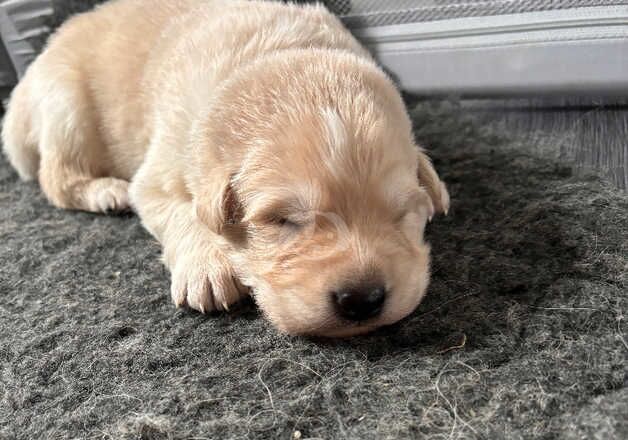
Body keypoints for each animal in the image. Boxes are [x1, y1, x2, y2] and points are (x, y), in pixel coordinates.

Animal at [2, 0, 448, 336]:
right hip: (65, 108)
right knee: (55, 176)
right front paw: (207, 268)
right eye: (282, 220)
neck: (269, 55)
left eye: (402, 213)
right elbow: (182, 210)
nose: (362, 299)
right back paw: (104, 191)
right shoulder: (160, 168)